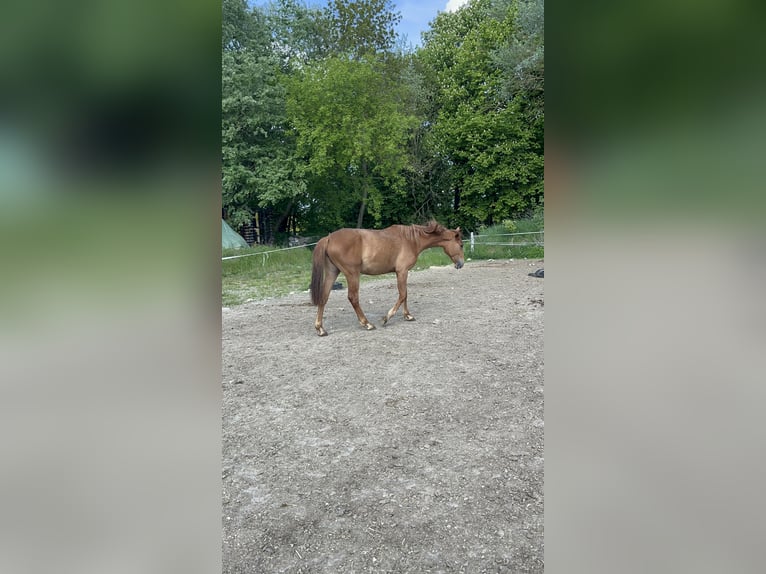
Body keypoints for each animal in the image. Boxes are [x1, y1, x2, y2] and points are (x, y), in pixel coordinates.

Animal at [310, 221, 465, 336]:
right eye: (461, 245)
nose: (461, 264)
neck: (411, 240)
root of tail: (329, 238)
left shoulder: (402, 272)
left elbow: (405, 294)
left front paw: (408, 316)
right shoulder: (402, 271)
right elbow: (402, 295)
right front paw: (386, 318)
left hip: (332, 273)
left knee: (324, 297)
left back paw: (320, 329)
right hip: (352, 274)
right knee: (353, 298)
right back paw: (367, 323)